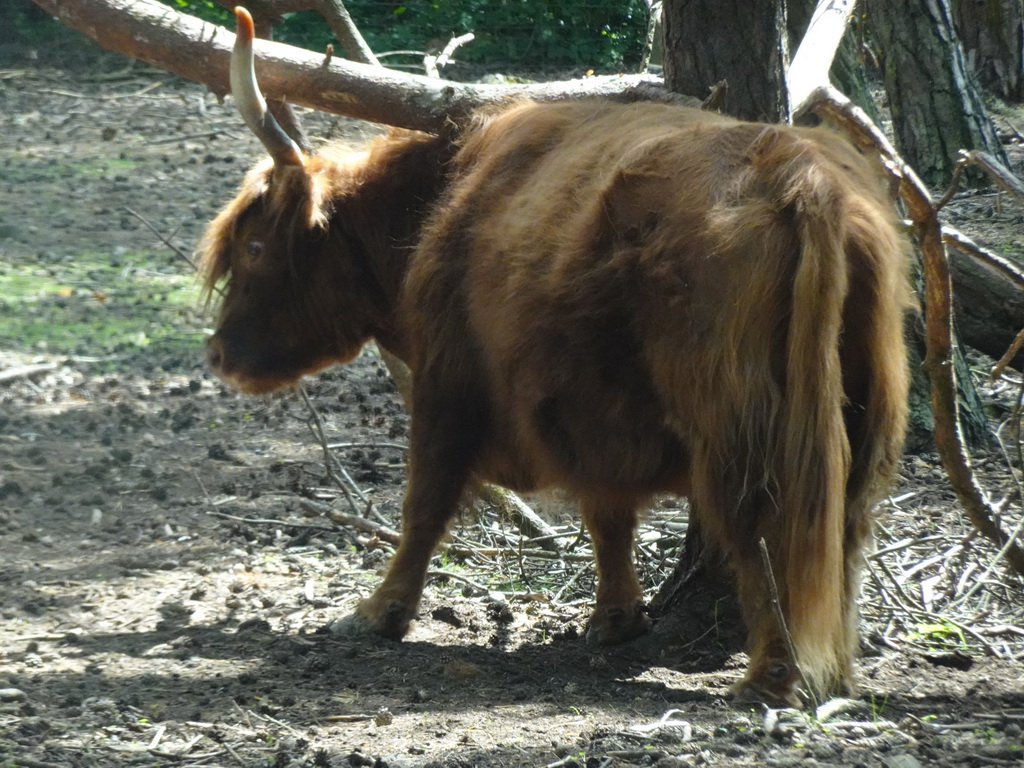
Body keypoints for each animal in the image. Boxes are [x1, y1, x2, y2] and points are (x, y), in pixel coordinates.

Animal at [203, 10, 909, 708]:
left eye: (256, 247)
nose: (218, 354)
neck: (441, 201)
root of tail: (797, 170)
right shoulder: (590, 414)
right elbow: (607, 514)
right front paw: (616, 619)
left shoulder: (448, 380)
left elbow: (425, 502)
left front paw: (377, 614)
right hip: (865, 409)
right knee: (845, 523)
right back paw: (836, 669)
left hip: (732, 415)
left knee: (760, 519)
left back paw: (771, 678)